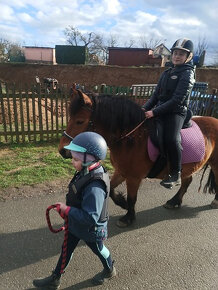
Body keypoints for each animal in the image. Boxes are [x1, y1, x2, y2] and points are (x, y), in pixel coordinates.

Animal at [58, 87, 218, 228]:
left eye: (80, 121)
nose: (62, 151)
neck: (132, 138)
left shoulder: (133, 177)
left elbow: (132, 197)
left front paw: (128, 217)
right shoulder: (121, 172)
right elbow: (110, 189)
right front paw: (122, 203)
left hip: (214, 164)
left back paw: (214, 201)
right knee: (187, 181)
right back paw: (174, 201)